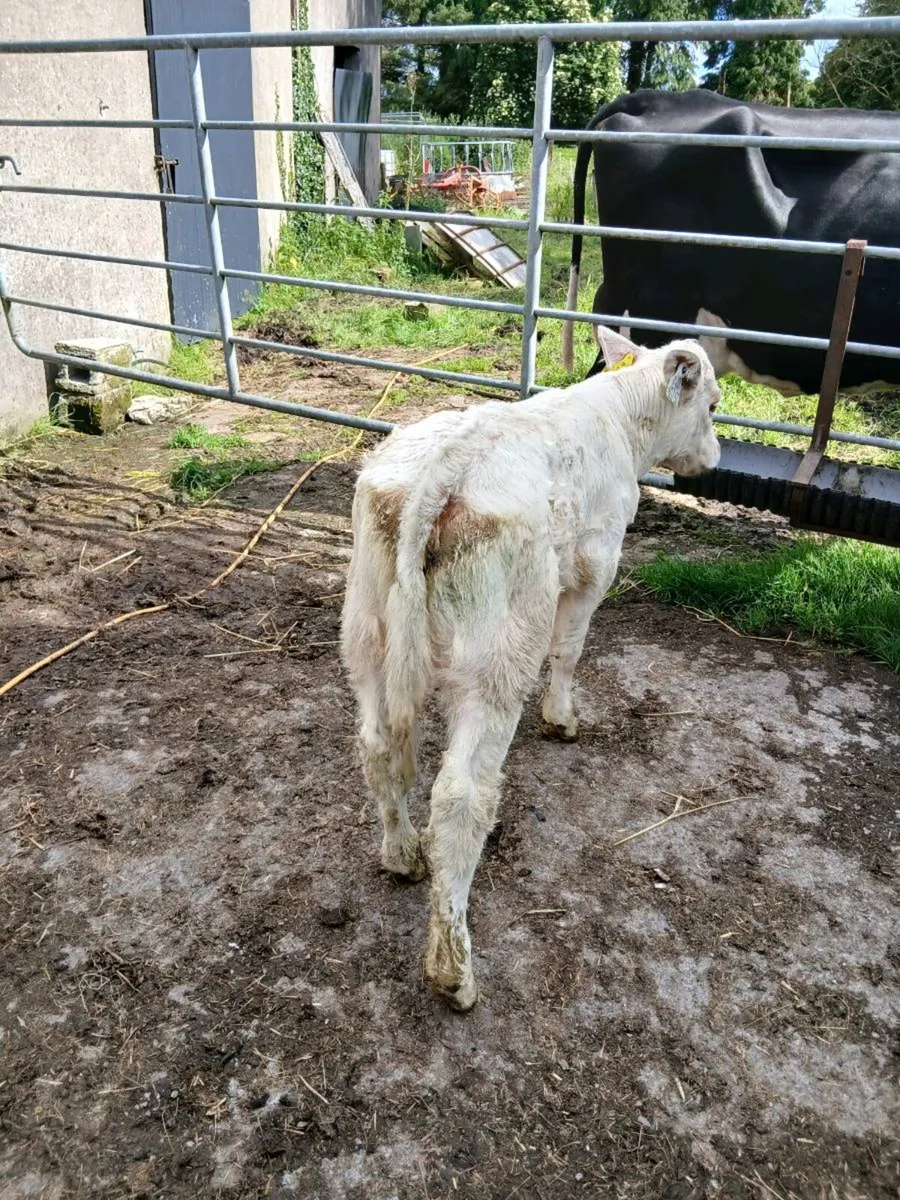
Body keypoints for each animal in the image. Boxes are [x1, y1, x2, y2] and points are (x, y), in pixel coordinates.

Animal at [340, 330, 721, 1011]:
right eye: (711, 404)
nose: (715, 457)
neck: (617, 418)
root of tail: (443, 471)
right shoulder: (596, 564)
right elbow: (569, 649)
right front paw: (562, 720)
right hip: (495, 656)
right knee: (461, 795)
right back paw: (454, 970)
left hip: (367, 635)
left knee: (379, 747)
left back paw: (401, 854)